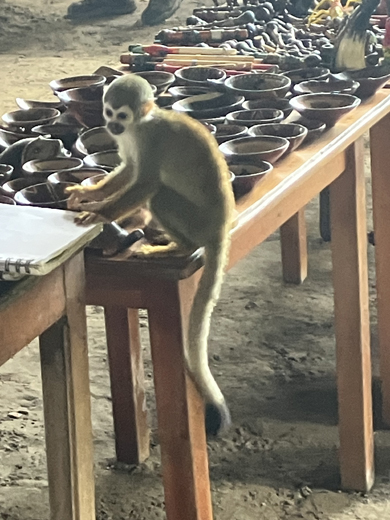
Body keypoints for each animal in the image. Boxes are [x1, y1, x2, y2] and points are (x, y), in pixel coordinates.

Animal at [67, 74, 235, 434]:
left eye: (122, 115)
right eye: (109, 112)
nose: (112, 126)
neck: (140, 126)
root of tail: (221, 227)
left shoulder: (151, 141)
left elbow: (143, 182)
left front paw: (99, 214)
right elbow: (128, 171)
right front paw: (88, 194)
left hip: (196, 221)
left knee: (159, 193)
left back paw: (180, 247)